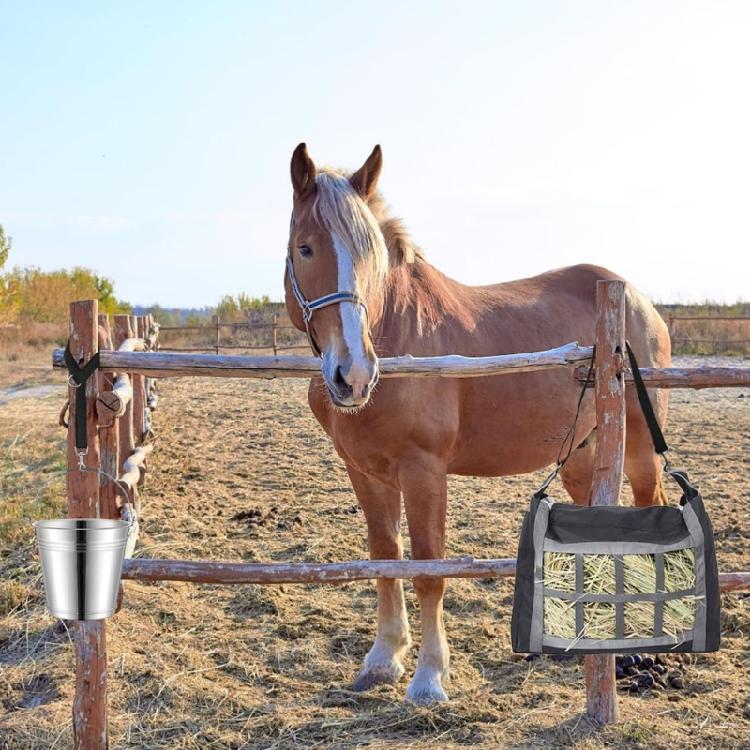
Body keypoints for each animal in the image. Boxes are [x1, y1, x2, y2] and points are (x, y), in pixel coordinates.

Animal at [283, 143, 671, 704]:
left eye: (370, 255)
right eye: (305, 248)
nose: (352, 374)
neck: (397, 334)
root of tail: (638, 301)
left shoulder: (423, 471)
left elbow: (428, 570)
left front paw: (428, 677)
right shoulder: (366, 472)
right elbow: (385, 558)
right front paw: (382, 660)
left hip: (638, 450)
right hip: (581, 455)